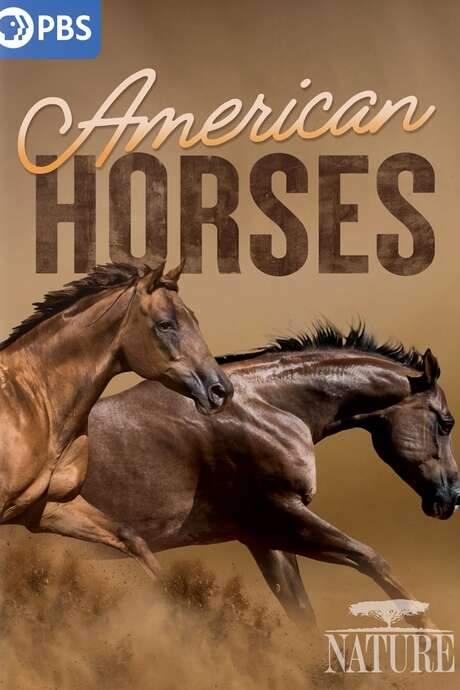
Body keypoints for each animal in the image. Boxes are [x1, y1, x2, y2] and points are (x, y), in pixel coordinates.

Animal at [0, 261, 232, 579]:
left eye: (194, 319)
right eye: (165, 324)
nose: (221, 390)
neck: (35, 401)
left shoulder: (48, 508)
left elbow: (131, 538)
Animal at [46, 323, 460, 628]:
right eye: (446, 422)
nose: (451, 497)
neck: (263, 406)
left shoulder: (263, 536)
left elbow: (302, 612)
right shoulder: (279, 514)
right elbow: (372, 560)